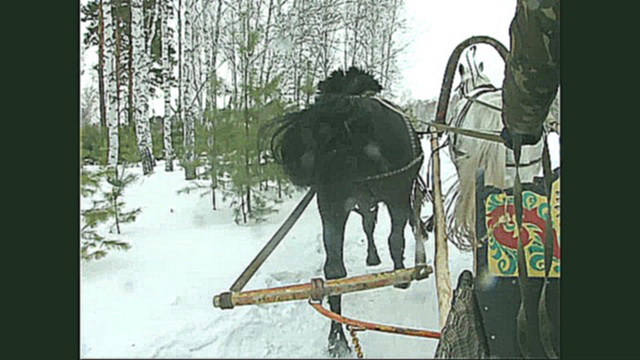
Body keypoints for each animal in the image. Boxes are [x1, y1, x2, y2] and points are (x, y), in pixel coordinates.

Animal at [270, 67, 424, 358]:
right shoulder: (392, 196)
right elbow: (392, 237)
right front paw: (398, 272)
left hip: (337, 204)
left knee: (338, 266)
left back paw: (338, 337)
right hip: (381, 197)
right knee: (386, 236)